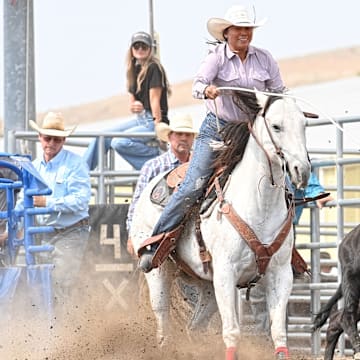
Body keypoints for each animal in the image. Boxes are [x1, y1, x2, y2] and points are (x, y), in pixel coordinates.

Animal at [131, 91, 310, 358]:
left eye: (304, 124)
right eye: (277, 126)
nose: (303, 171)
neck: (261, 203)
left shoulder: (280, 274)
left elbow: (278, 333)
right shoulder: (226, 273)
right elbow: (232, 332)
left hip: (206, 285)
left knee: (194, 327)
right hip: (159, 273)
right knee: (163, 322)